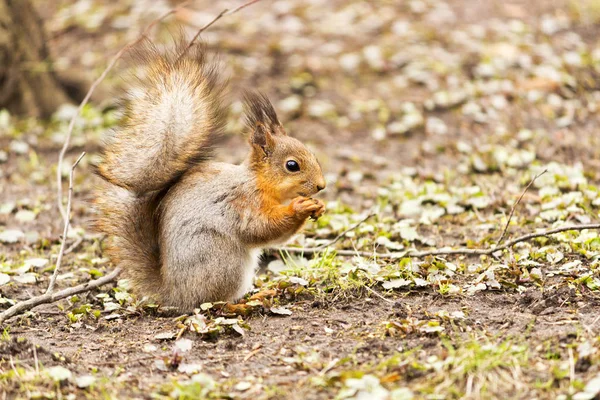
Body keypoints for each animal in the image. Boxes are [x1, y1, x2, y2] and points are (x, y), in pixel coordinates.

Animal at [94, 41, 326, 310]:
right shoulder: (241, 202)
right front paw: (299, 207)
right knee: (214, 303)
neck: (258, 181)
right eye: (292, 165)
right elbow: (260, 229)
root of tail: (175, 293)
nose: (321, 186)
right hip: (221, 259)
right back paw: (242, 304)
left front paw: (318, 206)